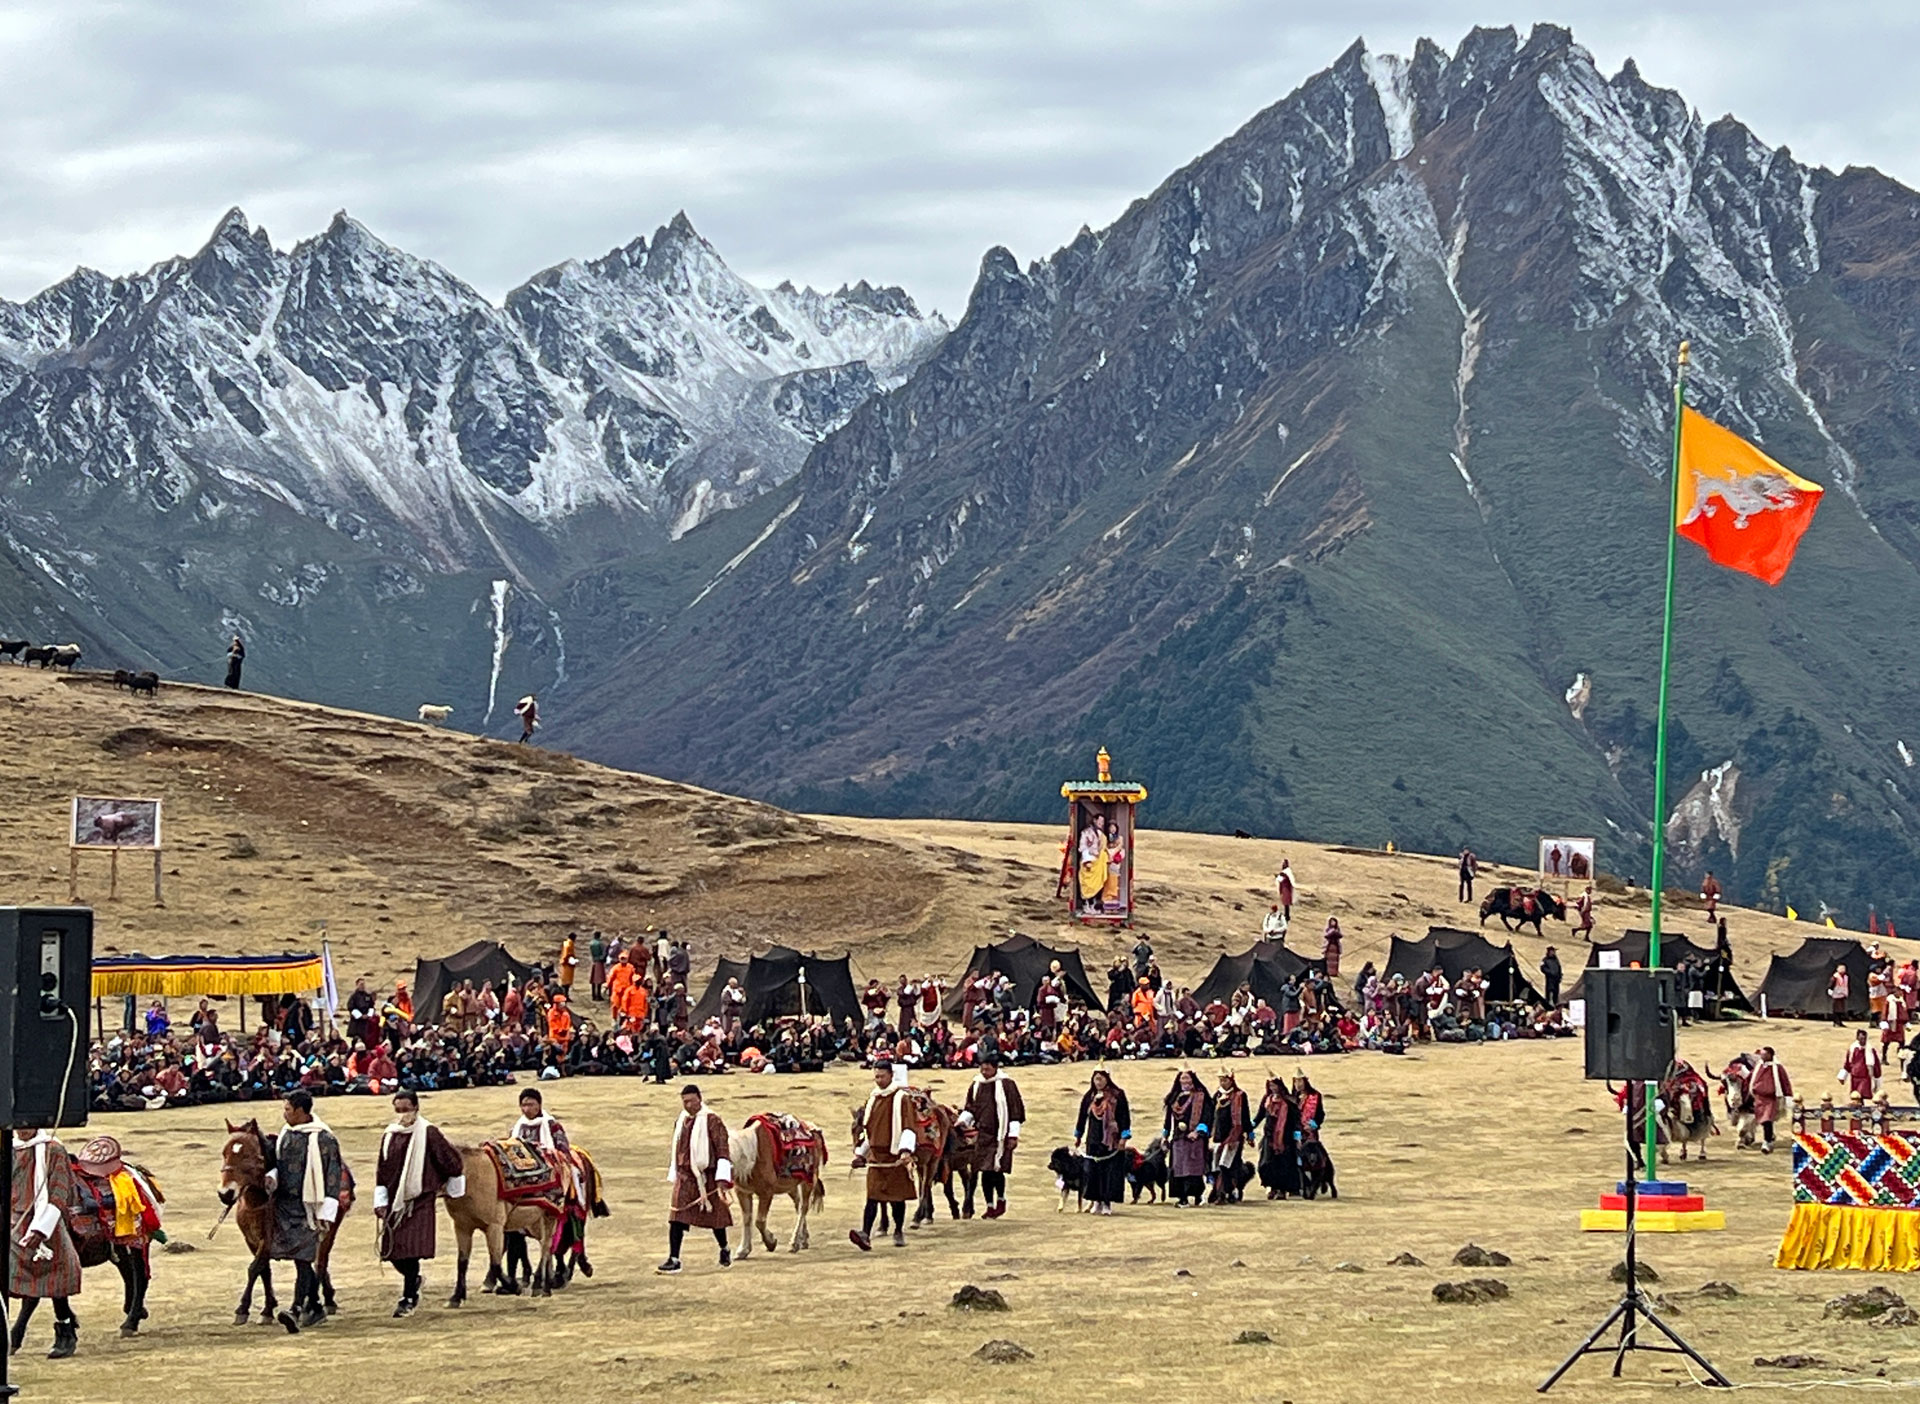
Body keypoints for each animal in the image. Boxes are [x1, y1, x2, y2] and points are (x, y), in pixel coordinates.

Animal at [217, 1121, 353, 1329]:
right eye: (225, 1153)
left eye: (247, 1155)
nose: (225, 1193)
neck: (258, 1202)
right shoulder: (251, 1240)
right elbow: (264, 1271)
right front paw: (267, 1309)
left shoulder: (268, 1240)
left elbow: (254, 1268)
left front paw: (243, 1309)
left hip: (327, 1232)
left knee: (319, 1264)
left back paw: (312, 1306)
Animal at [729, 1113, 829, 1259]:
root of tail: (815, 1131)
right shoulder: (743, 1191)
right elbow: (747, 1219)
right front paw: (743, 1250)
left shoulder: (766, 1193)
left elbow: (759, 1221)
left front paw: (771, 1242)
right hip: (791, 1184)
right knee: (798, 1204)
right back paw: (803, 1239)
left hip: (809, 1179)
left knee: (803, 1207)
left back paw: (794, 1243)